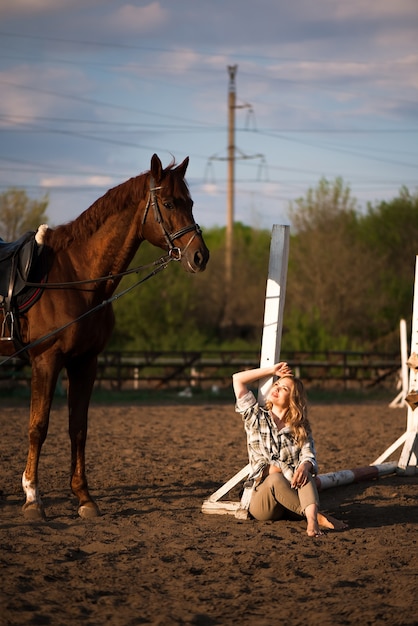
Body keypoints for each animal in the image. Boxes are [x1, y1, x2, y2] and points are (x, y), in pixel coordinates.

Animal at [0, 154, 209, 520]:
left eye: (192, 203)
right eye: (169, 203)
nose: (200, 256)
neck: (75, 278)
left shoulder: (86, 363)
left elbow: (78, 428)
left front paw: (84, 498)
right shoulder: (46, 361)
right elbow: (38, 427)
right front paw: (32, 498)